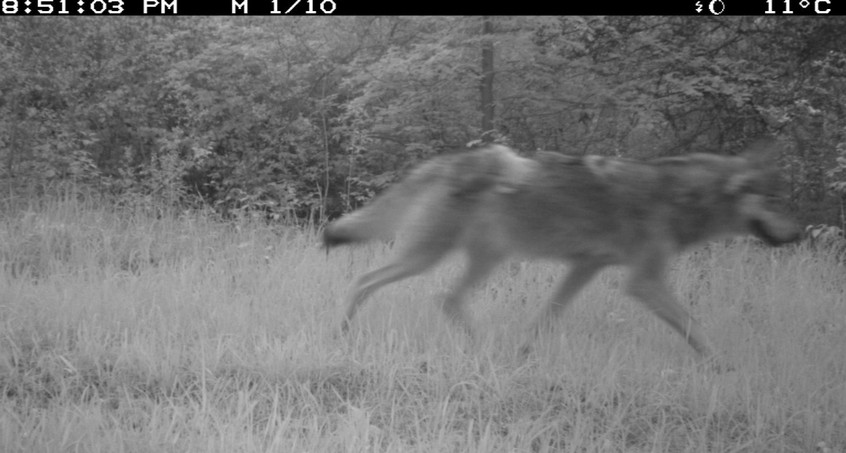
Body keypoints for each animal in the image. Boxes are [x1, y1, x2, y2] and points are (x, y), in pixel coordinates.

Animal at [322, 139, 800, 358]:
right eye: (775, 200)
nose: (797, 234)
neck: (680, 198)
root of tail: (450, 161)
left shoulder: (585, 267)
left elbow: (546, 316)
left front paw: (522, 354)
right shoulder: (642, 281)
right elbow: (694, 326)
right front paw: (722, 365)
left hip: (482, 260)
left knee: (446, 299)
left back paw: (484, 348)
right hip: (428, 257)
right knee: (366, 279)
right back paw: (339, 335)